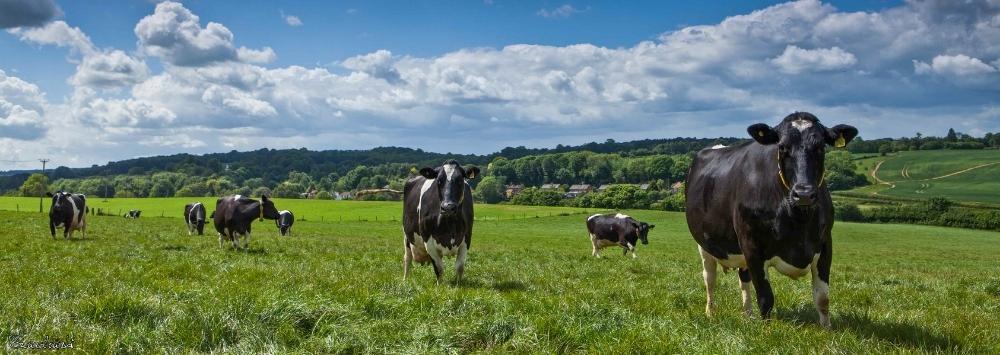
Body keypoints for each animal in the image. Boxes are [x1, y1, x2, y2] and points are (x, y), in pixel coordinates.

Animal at [688, 112, 860, 328]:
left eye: (820, 147)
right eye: (782, 147)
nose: (804, 194)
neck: (798, 220)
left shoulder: (825, 244)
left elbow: (822, 298)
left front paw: (827, 330)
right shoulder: (752, 247)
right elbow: (765, 297)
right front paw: (767, 330)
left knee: (743, 280)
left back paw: (748, 315)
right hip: (705, 245)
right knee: (710, 279)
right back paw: (710, 312)